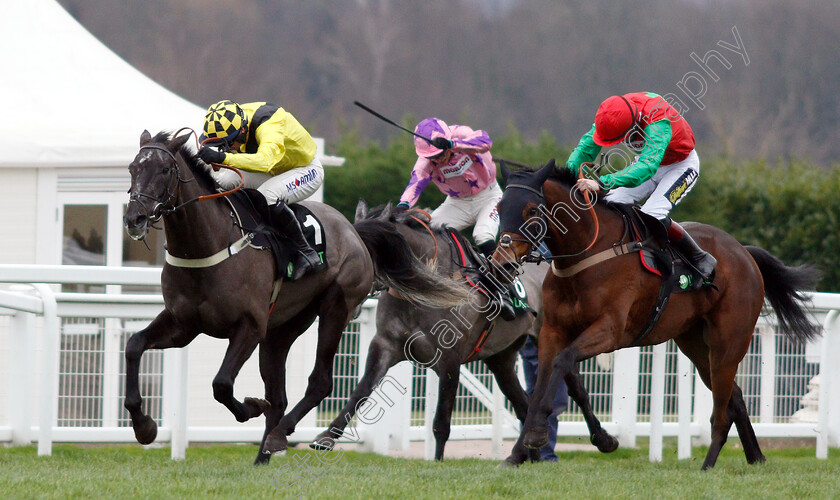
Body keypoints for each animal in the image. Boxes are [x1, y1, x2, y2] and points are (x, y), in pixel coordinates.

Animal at [122, 130, 470, 464]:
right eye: (133, 168)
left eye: (164, 169)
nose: (134, 218)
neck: (208, 245)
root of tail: (354, 232)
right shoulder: (183, 324)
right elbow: (134, 345)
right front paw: (144, 426)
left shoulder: (249, 328)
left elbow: (221, 385)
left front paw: (251, 407)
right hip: (283, 328)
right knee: (279, 396)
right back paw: (262, 455)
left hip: (335, 308)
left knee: (320, 383)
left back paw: (280, 435)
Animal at [308, 202, 616, 460]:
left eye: (359, 252)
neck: (425, 288)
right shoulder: (386, 345)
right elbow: (360, 392)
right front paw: (326, 437)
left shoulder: (449, 360)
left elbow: (441, 422)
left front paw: (437, 463)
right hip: (501, 359)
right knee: (524, 405)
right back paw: (528, 456)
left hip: (551, 339)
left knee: (577, 389)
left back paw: (604, 440)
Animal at [492, 159, 820, 468]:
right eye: (498, 208)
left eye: (531, 210)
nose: (501, 261)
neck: (588, 255)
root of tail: (744, 253)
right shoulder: (552, 330)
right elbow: (544, 380)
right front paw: (524, 448)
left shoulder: (610, 331)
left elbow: (563, 361)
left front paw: (539, 435)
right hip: (695, 344)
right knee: (735, 398)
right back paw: (755, 457)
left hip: (729, 343)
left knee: (722, 410)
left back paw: (708, 464)